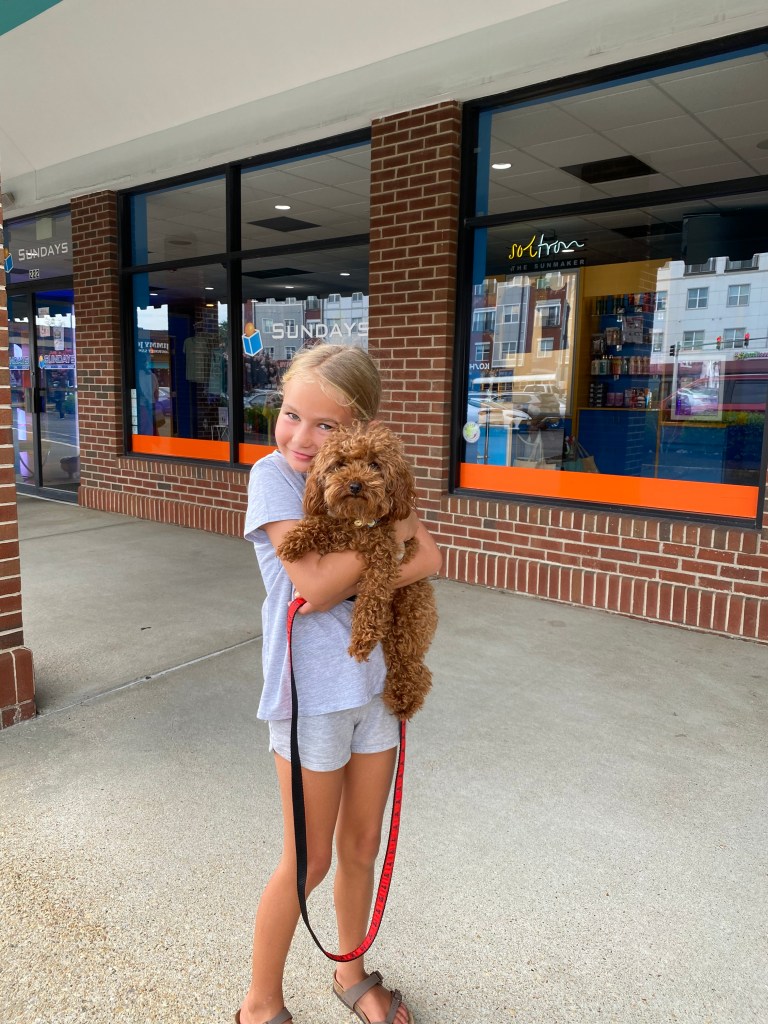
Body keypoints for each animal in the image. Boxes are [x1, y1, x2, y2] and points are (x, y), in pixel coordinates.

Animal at [277, 421, 438, 720]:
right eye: (339, 464)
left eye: (374, 464)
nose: (354, 485)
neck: (358, 520)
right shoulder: (339, 531)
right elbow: (321, 523)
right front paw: (293, 540)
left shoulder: (383, 560)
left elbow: (371, 601)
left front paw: (362, 638)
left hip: (410, 612)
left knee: (413, 666)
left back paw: (404, 700)